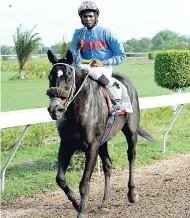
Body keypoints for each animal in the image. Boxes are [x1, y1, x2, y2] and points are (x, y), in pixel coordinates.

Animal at [46, 49, 156, 218]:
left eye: (69, 77)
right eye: (50, 77)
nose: (55, 109)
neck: (78, 112)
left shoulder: (92, 146)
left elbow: (84, 183)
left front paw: (81, 212)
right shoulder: (66, 145)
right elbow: (60, 179)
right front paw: (76, 203)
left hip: (130, 131)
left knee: (131, 155)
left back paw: (132, 193)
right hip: (103, 140)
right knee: (108, 165)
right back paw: (105, 201)